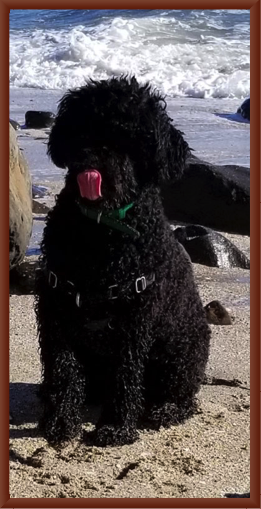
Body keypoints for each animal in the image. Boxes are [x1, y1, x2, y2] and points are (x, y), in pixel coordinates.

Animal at [34, 74, 209, 444]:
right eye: (86, 128)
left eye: (133, 142)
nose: (95, 164)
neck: (102, 231)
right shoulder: (57, 305)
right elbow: (63, 367)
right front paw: (60, 419)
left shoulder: (135, 316)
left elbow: (125, 373)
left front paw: (116, 426)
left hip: (179, 353)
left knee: (184, 398)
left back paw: (165, 410)